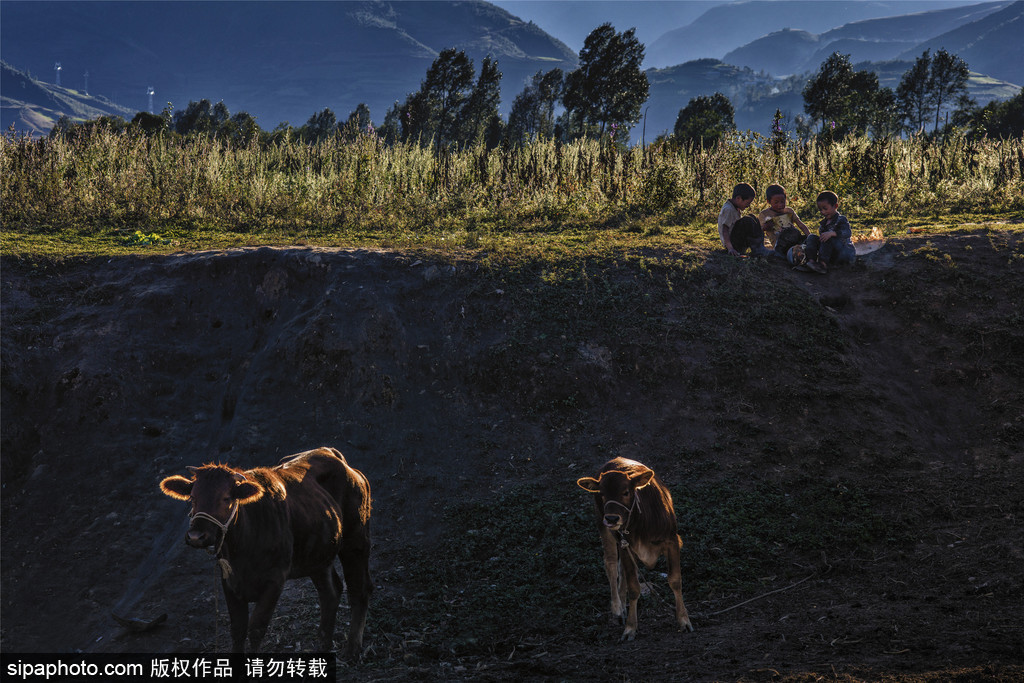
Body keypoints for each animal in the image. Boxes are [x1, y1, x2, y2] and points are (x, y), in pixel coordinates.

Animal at [157, 446, 370, 659]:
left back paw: (353, 649)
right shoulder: (228, 580)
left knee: (359, 591)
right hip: (319, 554)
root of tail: (332, 453)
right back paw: (324, 645)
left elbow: (256, 629)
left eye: (226, 498)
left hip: (356, 541)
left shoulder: (275, 580)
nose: (196, 536)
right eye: (192, 497)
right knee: (330, 593)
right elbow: (238, 629)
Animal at [577, 458, 696, 643]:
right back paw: (618, 609)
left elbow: (675, 581)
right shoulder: (627, 548)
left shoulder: (672, 541)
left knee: (621, 570)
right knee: (611, 564)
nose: (612, 518)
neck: (642, 522)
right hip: (603, 526)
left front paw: (684, 621)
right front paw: (630, 628)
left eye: (626, 492)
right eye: (601, 493)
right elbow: (634, 588)